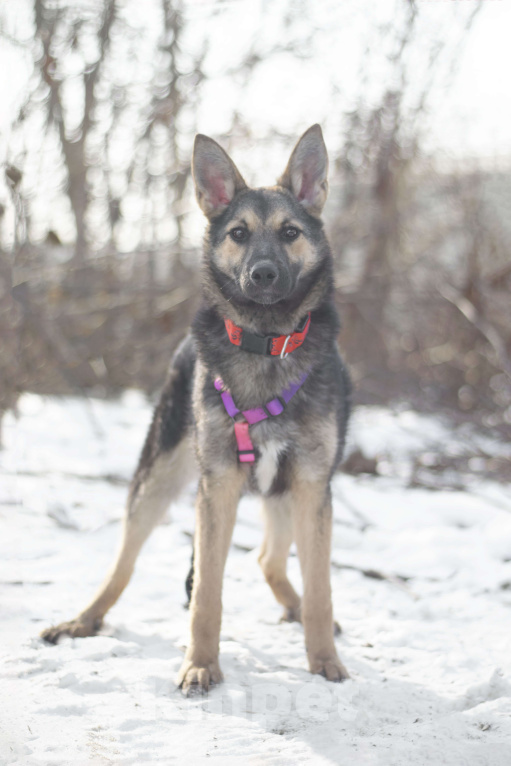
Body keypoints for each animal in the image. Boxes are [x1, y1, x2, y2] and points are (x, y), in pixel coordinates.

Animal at [42, 123, 352, 692]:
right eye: (239, 234)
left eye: (290, 232)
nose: (264, 274)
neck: (265, 344)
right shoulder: (218, 488)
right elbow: (206, 592)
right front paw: (201, 664)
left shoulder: (312, 487)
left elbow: (321, 588)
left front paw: (323, 658)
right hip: (159, 477)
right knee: (123, 561)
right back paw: (83, 619)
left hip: (283, 495)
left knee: (270, 559)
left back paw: (298, 611)